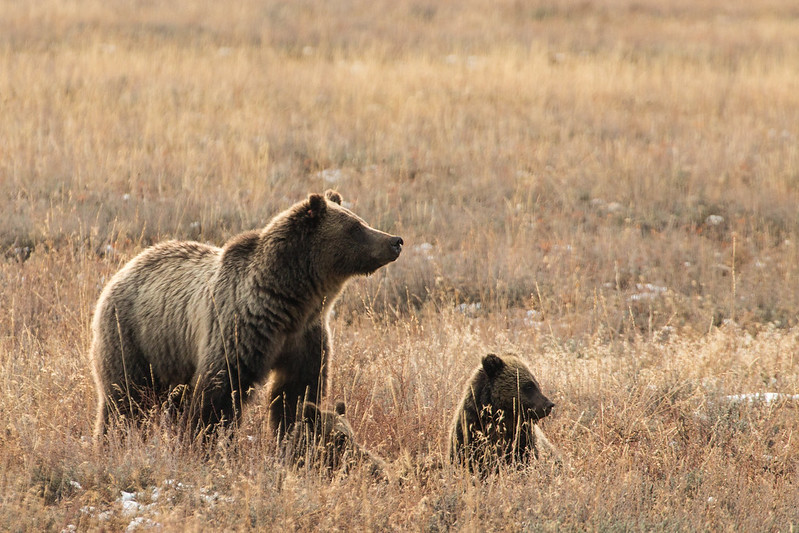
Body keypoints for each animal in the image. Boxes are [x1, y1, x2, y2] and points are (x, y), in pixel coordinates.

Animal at [89, 189, 400, 438]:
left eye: (361, 220)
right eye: (355, 227)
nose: (395, 241)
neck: (291, 302)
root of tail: (126, 267)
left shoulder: (306, 337)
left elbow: (297, 393)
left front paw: (294, 434)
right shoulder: (240, 329)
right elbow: (219, 394)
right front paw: (205, 440)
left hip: (171, 354)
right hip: (134, 335)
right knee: (125, 398)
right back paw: (113, 439)